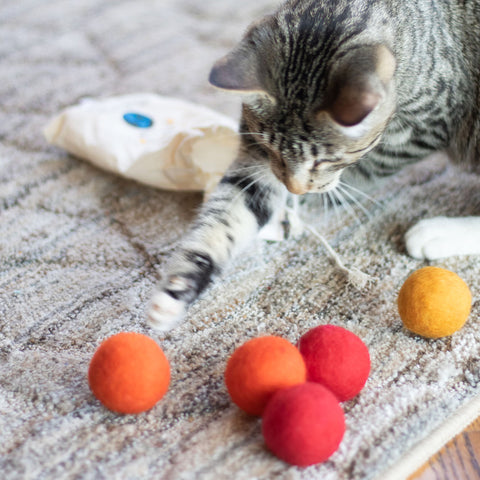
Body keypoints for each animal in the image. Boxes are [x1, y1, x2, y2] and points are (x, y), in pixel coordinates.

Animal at [148, 0, 480, 330]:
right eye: (272, 149)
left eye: (325, 160)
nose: (294, 187)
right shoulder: (255, 158)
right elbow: (228, 215)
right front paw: (180, 286)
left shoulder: (425, 126)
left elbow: (371, 167)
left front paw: (316, 199)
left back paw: (438, 232)